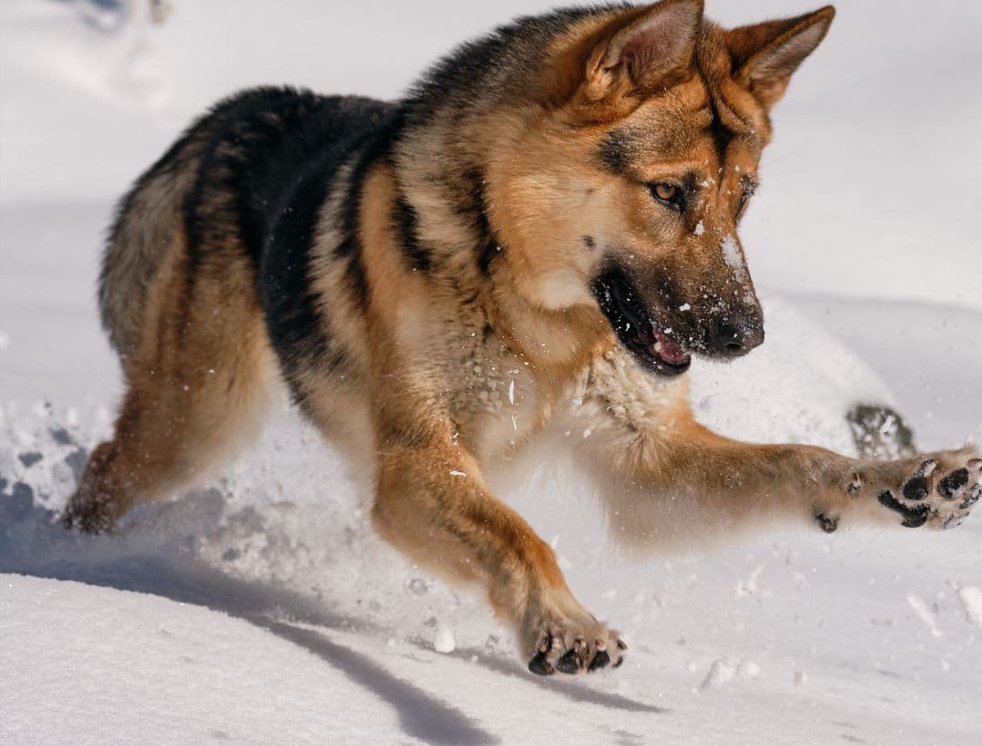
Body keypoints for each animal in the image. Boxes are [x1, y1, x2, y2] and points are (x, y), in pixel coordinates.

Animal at [65, 1, 980, 676]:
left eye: (742, 198)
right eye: (670, 192)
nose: (748, 335)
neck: (538, 321)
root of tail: (237, 110)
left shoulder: (648, 466)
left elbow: (805, 460)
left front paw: (915, 479)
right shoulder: (416, 466)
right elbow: (520, 536)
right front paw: (564, 623)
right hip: (198, 427)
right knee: (104, 471)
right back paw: (79, 567)